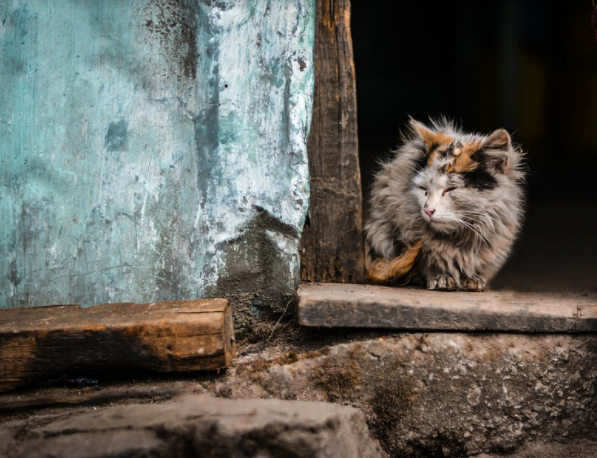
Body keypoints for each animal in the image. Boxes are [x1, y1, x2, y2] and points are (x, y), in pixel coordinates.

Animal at [364, 118, 520, 290]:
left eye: (450, 189)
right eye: (423, 189)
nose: (428, 210)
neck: (458, 239)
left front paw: (473, 280)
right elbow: (426, 262)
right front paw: (441, 278)